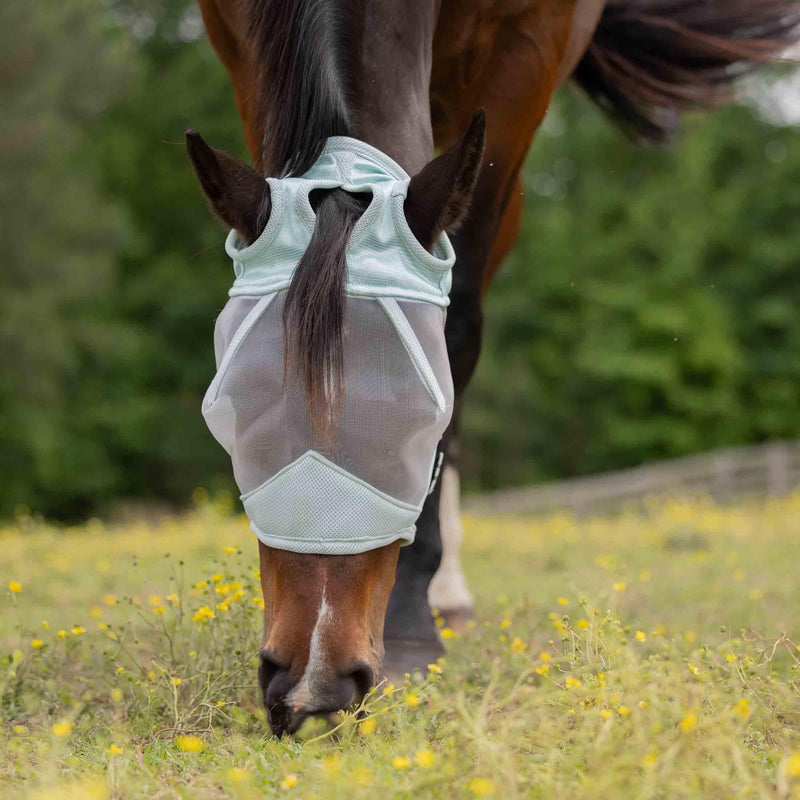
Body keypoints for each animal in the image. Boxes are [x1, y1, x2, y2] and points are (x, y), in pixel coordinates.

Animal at [187, 0, 800, 735]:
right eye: (239, 419)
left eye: (423, 427)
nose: (313, 687)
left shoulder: (520, 69)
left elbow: (459, 320)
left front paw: (413, 632)